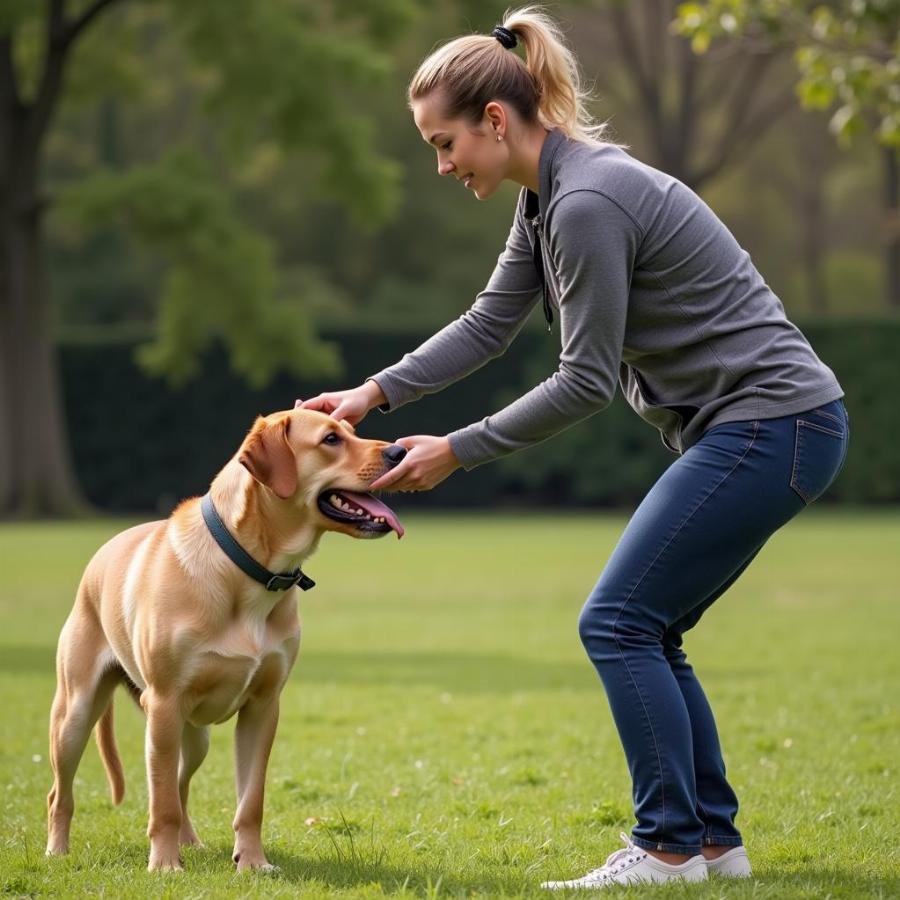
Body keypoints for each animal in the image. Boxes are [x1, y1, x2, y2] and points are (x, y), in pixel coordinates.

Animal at [44, 410, 404, 872]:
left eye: (351, 431)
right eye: (330, 439)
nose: (399, 451)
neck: (248, 569)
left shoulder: (262, 708)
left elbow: (250, 801)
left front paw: (252, 862)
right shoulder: (164, 703)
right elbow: (160, 804)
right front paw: (164, 865)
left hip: (193, 738)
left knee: (180, 786)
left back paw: (190, 841)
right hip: (77, 714)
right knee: (63, 792)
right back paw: (58, 849)